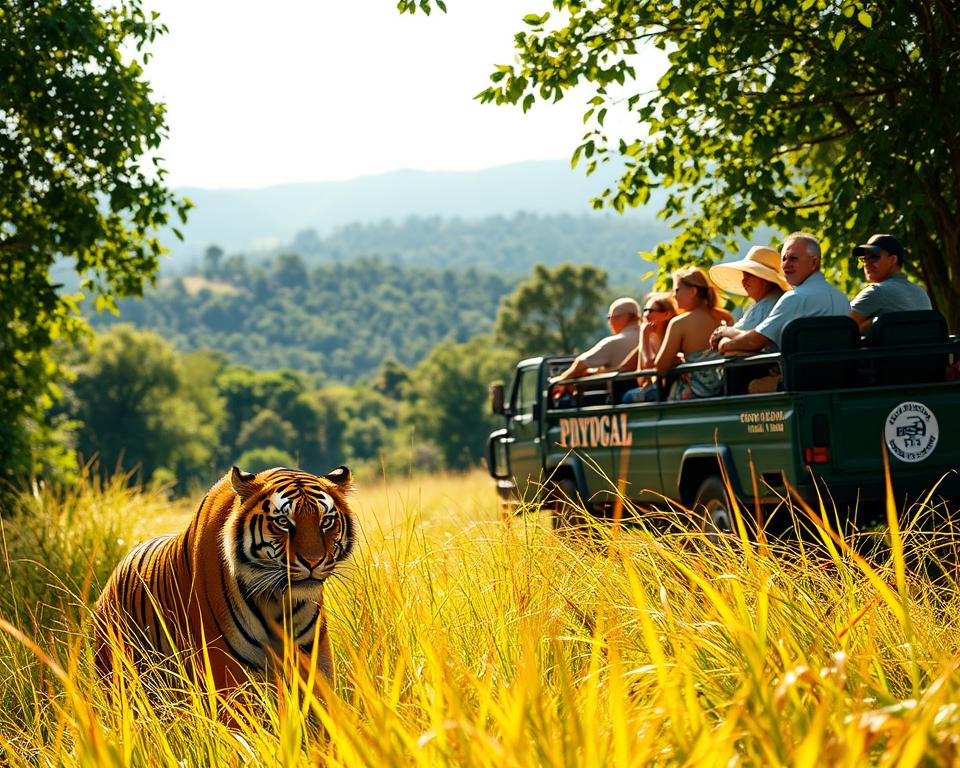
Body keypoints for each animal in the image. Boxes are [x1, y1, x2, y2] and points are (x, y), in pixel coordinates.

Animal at [93, 464, 355, 699]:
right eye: (283, 522)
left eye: (326, 521)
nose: (313, 561)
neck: (277, 601)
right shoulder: (224, 670)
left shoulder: (314, 661)